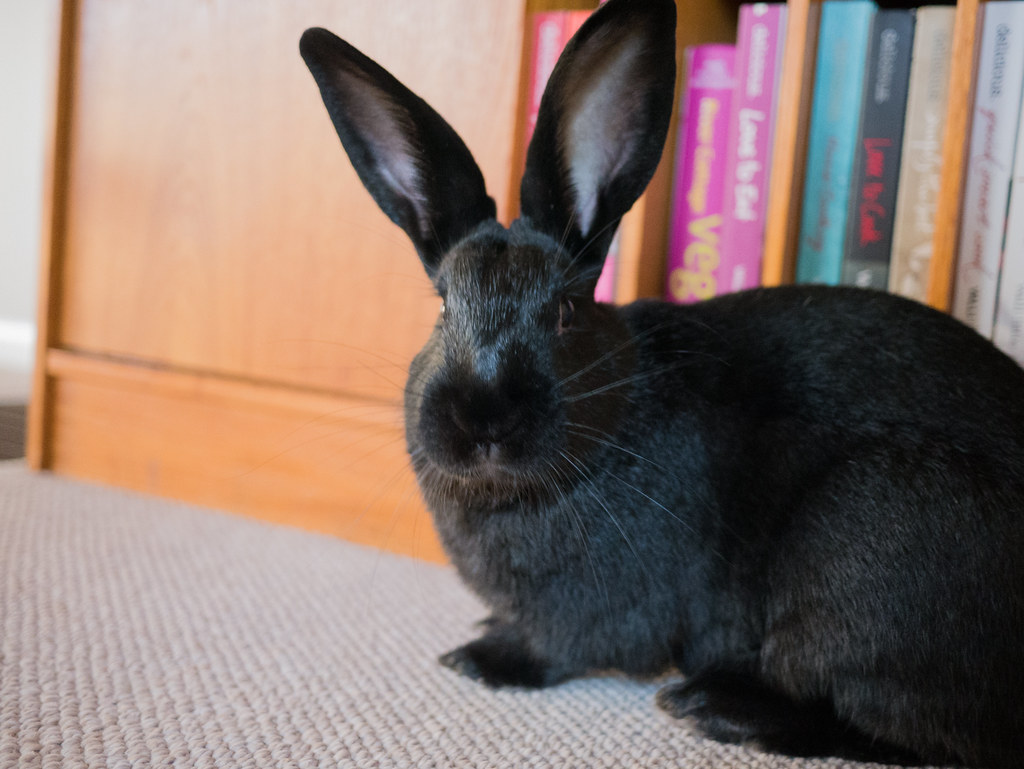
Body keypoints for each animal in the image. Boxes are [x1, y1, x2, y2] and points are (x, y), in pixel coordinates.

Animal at [299, 0, 1024, 766]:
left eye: (565, 312)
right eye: (442, 307)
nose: (482, 420)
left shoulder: (601, 617)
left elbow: (559, 648)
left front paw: (482, 658)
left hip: (866, 540)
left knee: (898, 727)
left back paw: (713, 707)